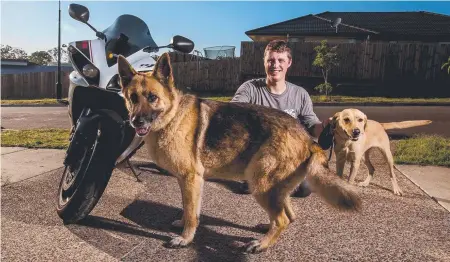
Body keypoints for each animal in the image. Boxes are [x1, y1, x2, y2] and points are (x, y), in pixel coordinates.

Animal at [117, 53, 362, 254]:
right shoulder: (189, 182)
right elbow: (189, 209)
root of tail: (308, 138)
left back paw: (261, 245)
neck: (172, 115)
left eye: (152, 97)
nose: (136, 121)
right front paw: (183, 224)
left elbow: (191, 213)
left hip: (260, 183)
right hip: (272, 187)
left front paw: (185, 239)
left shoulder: (191, 179)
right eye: (132, 98)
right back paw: (266, 229)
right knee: (289, 216)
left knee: (282, 219)